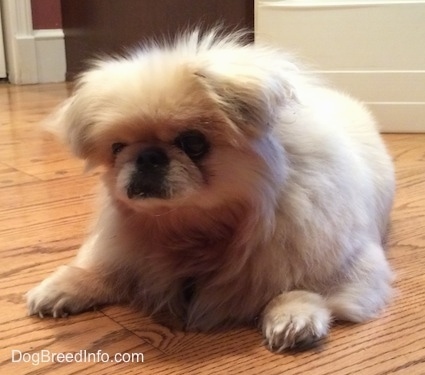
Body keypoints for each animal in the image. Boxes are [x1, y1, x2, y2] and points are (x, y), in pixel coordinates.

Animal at [25, 29, 394, 352]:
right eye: (117, 148)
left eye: (193, 143)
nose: (147, 156)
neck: (199, 226)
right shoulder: (122, 246)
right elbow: (100, 267)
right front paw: (63, 287)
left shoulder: (352, 261)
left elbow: (306, 288)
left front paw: (292, 316)